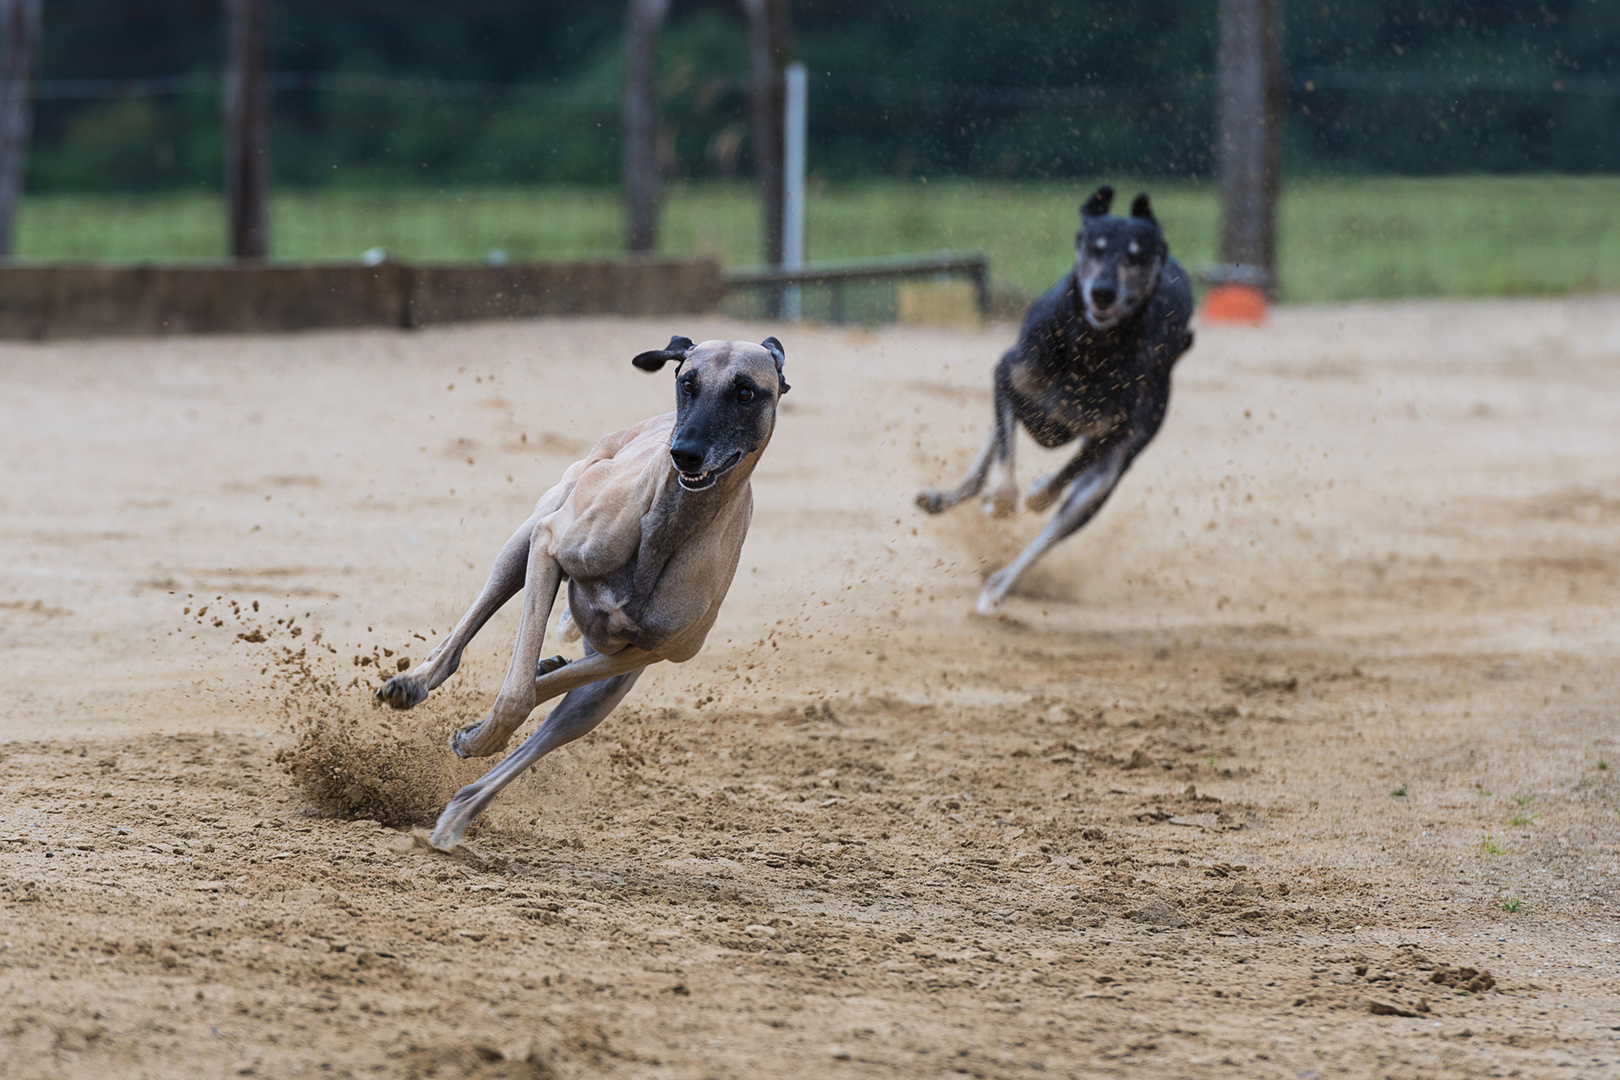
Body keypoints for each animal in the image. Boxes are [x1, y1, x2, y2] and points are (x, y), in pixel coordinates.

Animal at [375, 333, 787, 848]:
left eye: (746, 392)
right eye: (687, 382)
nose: (685, 452)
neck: (669, 526)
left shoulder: (652, 653)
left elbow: (536, 688)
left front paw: (481, 730)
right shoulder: (547, 547)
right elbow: (516, 694)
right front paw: (482, 731)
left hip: (599, 697)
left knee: (547, 723)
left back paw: (457, 815)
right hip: (530, 532)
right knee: (460, 639)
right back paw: (414, 684)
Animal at [920, 186, 1198, 615]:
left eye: (1135, 255)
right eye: (1094, 248)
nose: (1103, 291)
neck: (1093, 348)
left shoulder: (1112, 434)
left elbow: (1057, 482)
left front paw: (1036, 493)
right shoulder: (1007, 376)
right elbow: (1003, 464)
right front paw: (998, 499)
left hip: (1103, 480)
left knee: (1051, 532)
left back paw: (998, 587)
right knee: (990, 458)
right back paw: (952, 499)